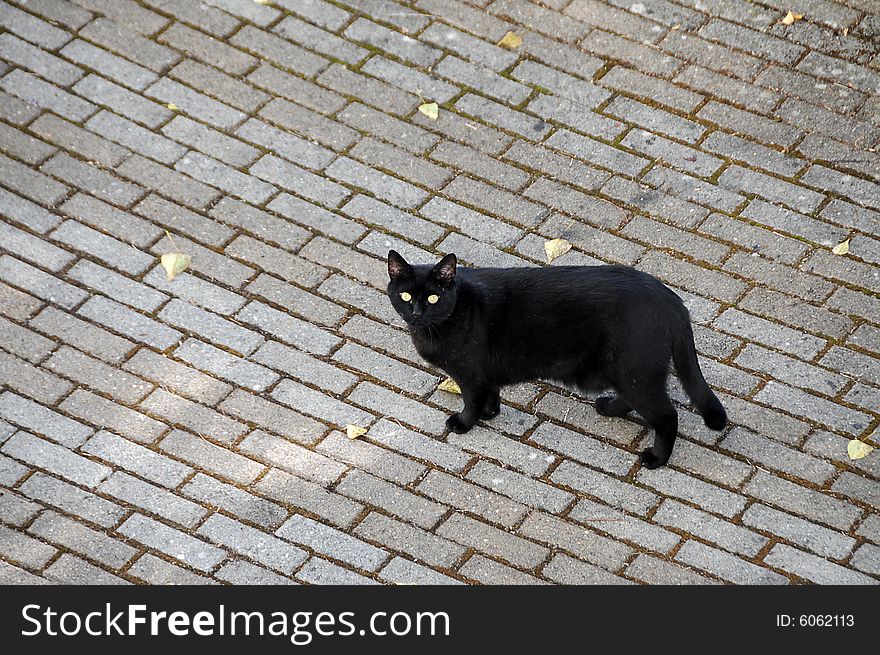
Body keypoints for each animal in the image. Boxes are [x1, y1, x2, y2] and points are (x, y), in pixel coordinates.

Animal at [388, 249, 724, 468]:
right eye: (405, 296)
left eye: (434, 298)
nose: (416, 312)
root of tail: (672, 300)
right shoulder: (485, 374)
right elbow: (491, 394)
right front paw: (490, 414)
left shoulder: (470, 374)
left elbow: (471, 401)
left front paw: (465, 423)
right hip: (628, 372)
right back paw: (609, 407)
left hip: (634, 370)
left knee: (667, 416)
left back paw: (656, 459)